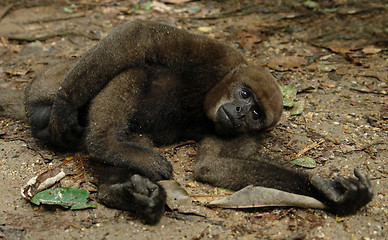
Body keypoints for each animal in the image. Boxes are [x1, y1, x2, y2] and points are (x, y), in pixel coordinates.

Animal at [1, 19, 374, 224]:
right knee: (135, 70)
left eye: (255, 114)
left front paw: (333, 193)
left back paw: (125, 194)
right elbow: (139, 36)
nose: (240, 113)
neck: (214, 91)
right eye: (244, 95)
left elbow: (211, 167)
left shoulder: (240, 134)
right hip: (48, 88)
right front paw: (66, 108)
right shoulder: (220, 57)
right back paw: (102, 140)